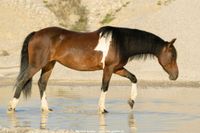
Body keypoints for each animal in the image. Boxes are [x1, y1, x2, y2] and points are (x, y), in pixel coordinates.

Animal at [8, 25, 178, 113]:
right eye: (172, 55)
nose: (175, 76)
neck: (120, 42)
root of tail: (36, 33)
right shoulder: (108, 69)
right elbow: (105, 87)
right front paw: (102, 109)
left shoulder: (117, 68)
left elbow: (133, 77)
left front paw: (131, 101)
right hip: (37, 64)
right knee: (22, 80)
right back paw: (12, 106)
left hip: (49, 64)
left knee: (42, 83)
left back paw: (46, 108)